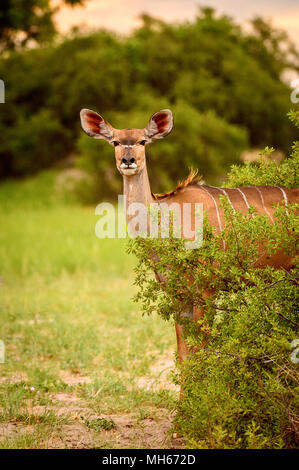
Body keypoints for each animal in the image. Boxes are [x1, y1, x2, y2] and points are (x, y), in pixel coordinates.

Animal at [80, 109, 299, 364]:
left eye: (143, 141)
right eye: (115, 141)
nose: (128, 160)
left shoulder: (207, 288)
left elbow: (199, 352)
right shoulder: (178, 293)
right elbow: (183, 353)